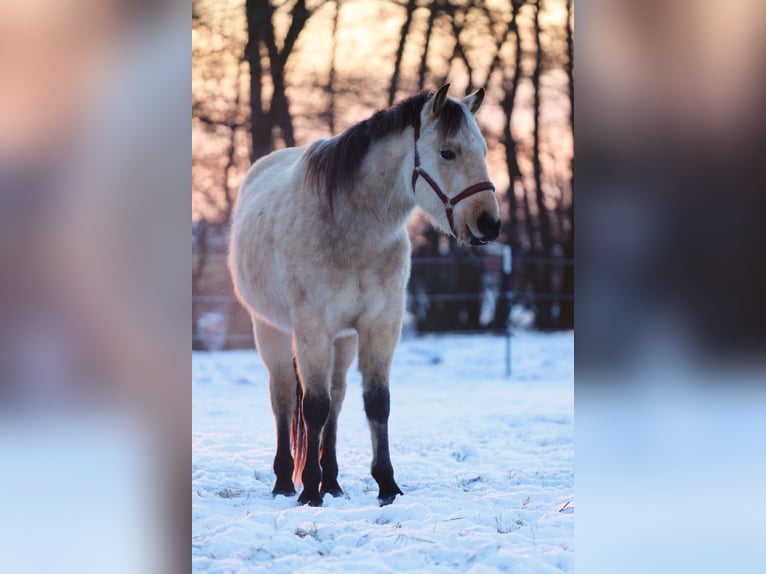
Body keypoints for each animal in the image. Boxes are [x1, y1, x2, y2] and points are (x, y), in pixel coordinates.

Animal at [228, 84, 501, 507]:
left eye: (484, 150)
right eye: (447, 152)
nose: (488, 223)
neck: (350, 229)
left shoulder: (380, 326)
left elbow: (375, 403)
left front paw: (386, 485)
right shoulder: (311, 330)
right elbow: (313, 406)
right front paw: (309, 490)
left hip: (343, 340)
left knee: (337, 399)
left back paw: (333, 481)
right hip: (270, 330)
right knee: (285, 398)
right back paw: (285, 481)